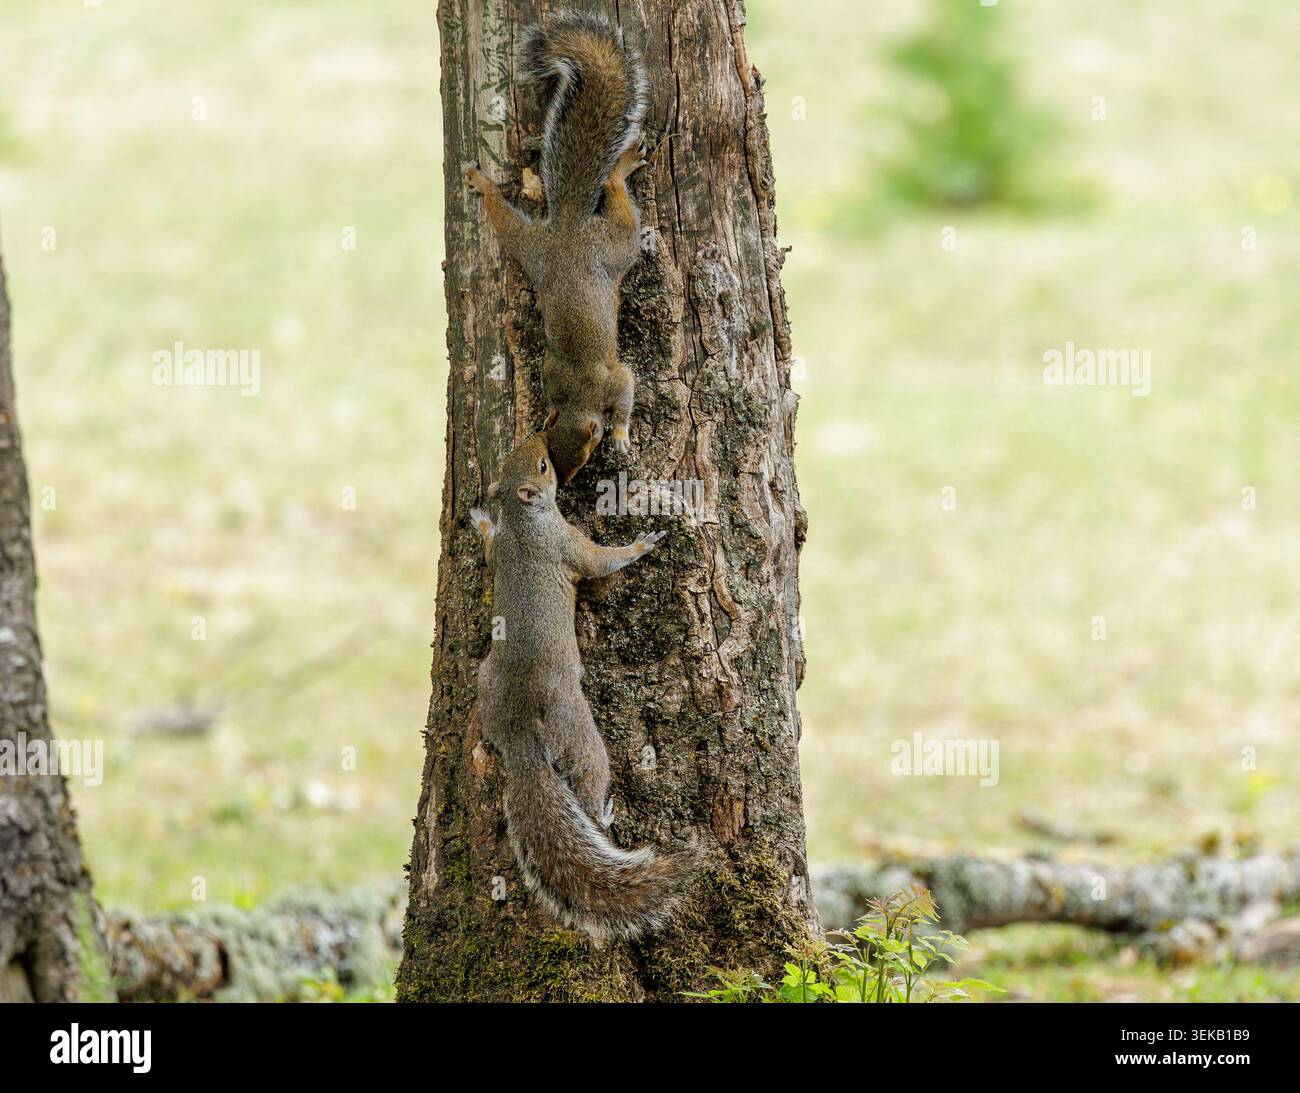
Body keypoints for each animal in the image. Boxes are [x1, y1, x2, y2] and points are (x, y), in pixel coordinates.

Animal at [465, 13, 649, 485]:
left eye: (585, 456)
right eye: (550, 453)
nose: (564, 484)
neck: (578, 394)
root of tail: (567, 226)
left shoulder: (615, 379)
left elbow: (626, 392)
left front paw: (621, 435)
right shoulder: (553, 375)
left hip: (611, 246)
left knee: (615, 196)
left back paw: (620, 167)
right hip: (533, 248)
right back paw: (483, 184)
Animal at [469, 432, 697, 941]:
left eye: (527, 455)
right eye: (541, 465)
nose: (540, 435)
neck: (524, 520)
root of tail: (517, 732)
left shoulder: (506, 548)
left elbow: (491, 551)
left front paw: (480, 523)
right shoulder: (567, 543)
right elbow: (599, 562)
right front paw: (641, 543)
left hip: (485, 687)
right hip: (574, 724)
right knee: (590, 775)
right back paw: (604, 812)